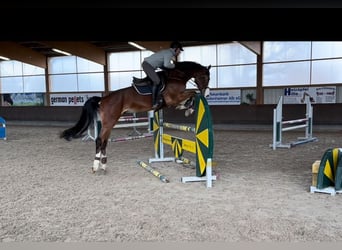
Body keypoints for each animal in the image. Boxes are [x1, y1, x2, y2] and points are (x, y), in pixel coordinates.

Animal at [60, 61, 211, 173]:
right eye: (205, 77)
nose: (207, 93)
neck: (176, 77)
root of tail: (102, 99)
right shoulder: (173, 98)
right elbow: (193, 93)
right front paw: (188, 108)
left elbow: (191, 95)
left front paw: (186, 107)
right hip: (109, 121)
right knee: (99, 140)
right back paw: (96, 166)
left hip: (110, 122)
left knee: (104, 141)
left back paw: (103, 165)